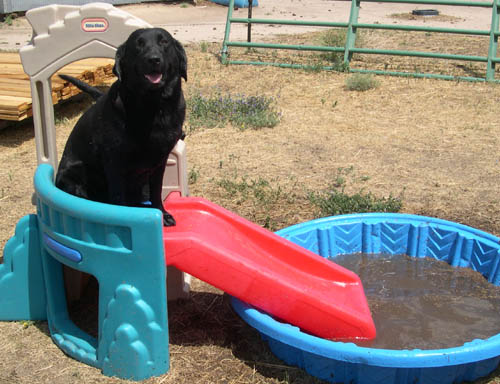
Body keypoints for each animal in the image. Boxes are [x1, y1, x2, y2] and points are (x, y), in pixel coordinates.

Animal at [55, 28, 188, 226]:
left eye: (164, 42)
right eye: (138, 44)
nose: (153, 59)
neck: (153, 108)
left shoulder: (160, 160)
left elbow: (156, 191)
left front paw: (162, 214)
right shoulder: (114, 162)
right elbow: (118, 197)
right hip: (76, 173)